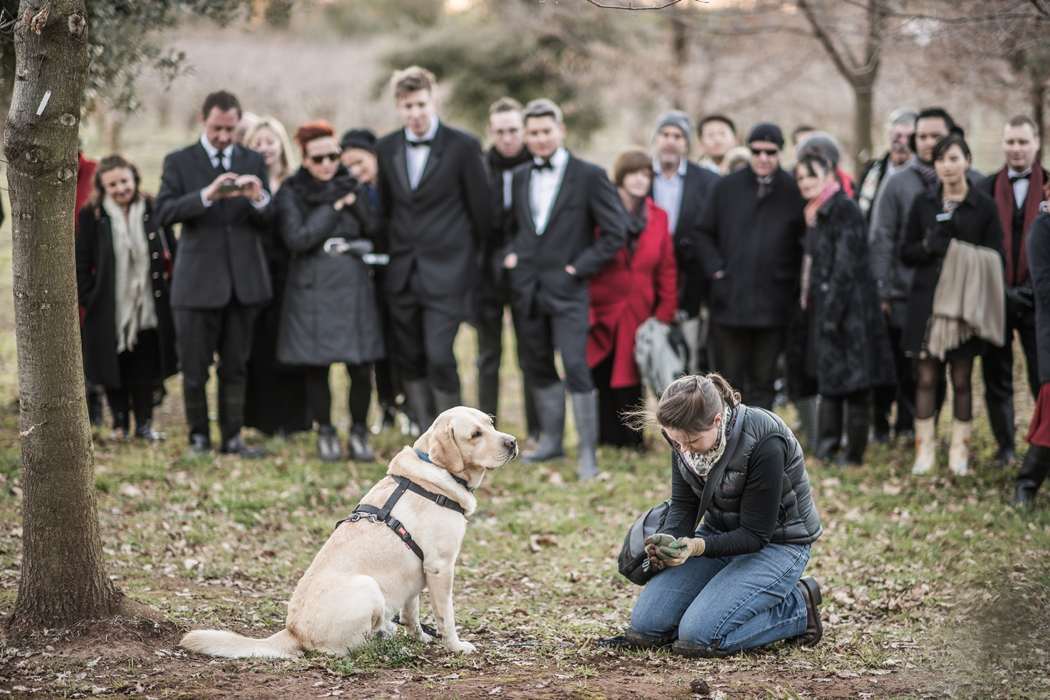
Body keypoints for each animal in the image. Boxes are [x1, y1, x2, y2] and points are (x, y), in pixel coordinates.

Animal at [180, 407, 516, 659]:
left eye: (491, 422)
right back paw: (383, 642)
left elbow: (412, 614)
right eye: (475, 435)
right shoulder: (440, 567)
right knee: (345, 649)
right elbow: (446, 616)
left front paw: (419, 637)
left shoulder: (419, 569)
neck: (436, 474)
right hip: (368, 587)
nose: (512, 442)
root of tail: (292, 631)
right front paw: (456, 646)